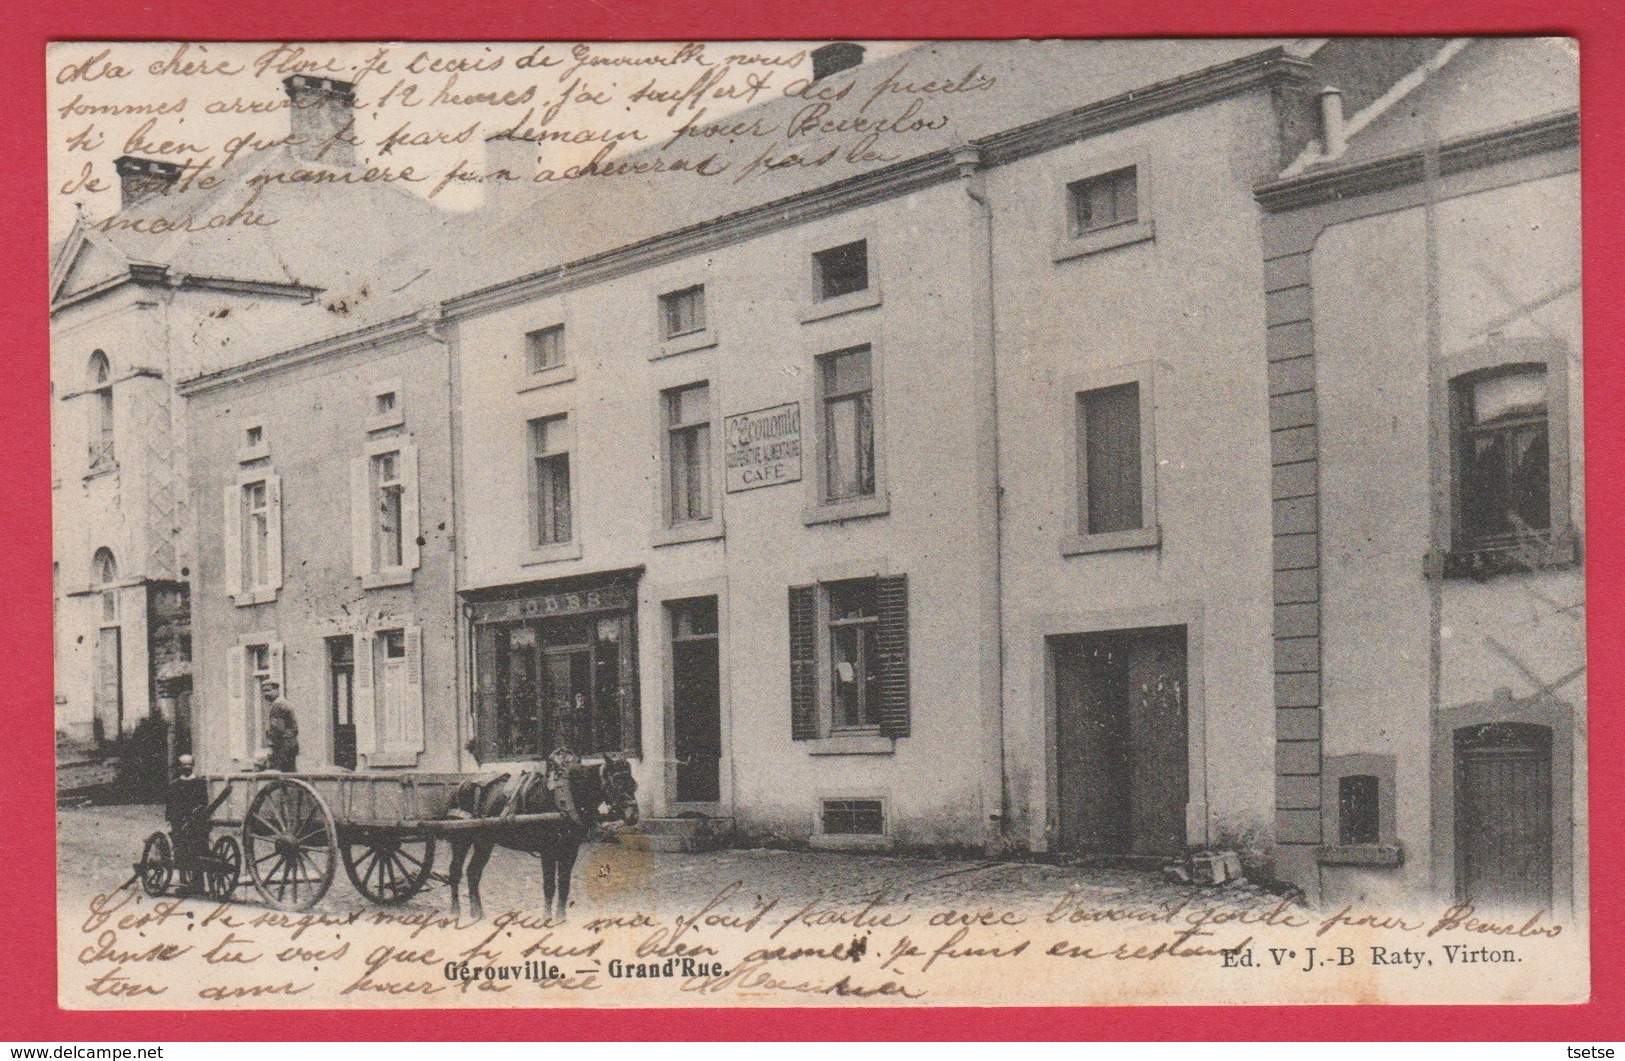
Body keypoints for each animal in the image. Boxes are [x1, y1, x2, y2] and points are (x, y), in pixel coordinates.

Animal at [448, 744, 643, 916]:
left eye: (634, 784)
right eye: (617, 782)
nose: (633, 816)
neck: (565, 797)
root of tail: (462, 784)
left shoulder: (570, 850)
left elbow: (564, 885)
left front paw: (560, 919)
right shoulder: (548, 850)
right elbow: (549, 886)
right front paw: (547, 919)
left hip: (485, 842)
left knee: (473, 872)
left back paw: (477, 914)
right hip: (462, 840)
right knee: (455, 872)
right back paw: (455, 912)